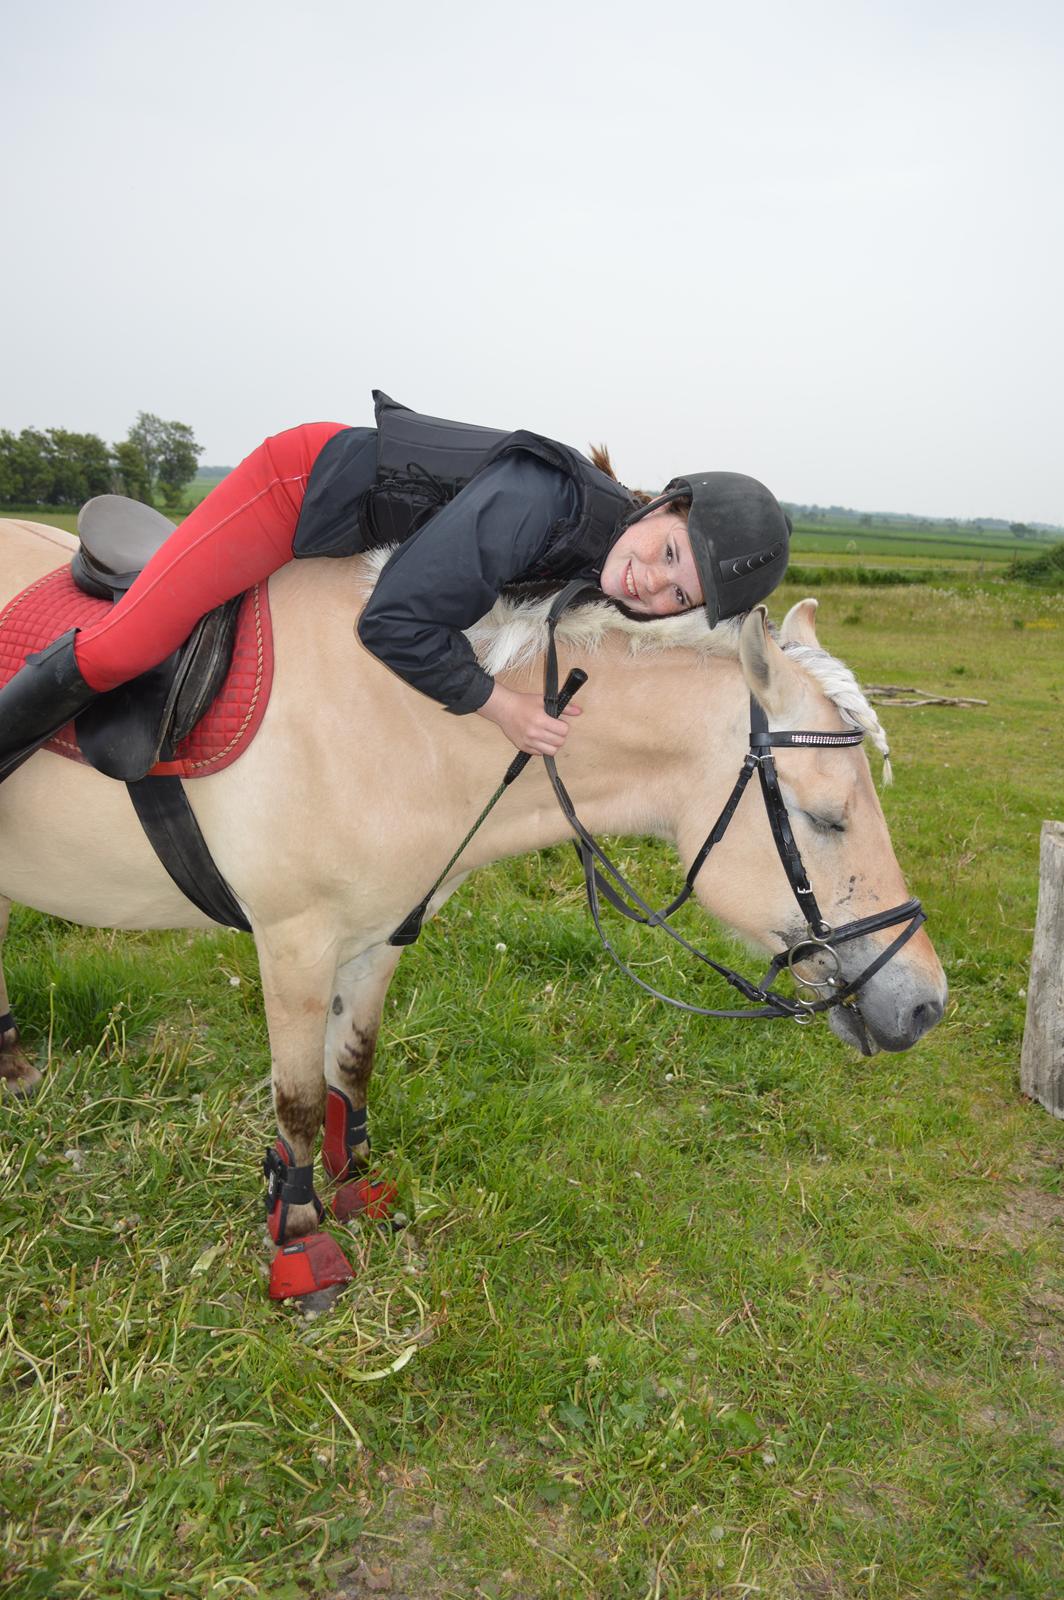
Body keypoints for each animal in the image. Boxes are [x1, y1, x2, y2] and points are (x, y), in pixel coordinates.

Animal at [0, 517, 946, 1281]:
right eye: (826, 817)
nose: (926, 1005)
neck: (399, 715)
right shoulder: (294, 941)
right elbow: (298, 1100)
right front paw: (300, 1236)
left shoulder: (381, 934)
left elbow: (352, 1066)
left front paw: (357, 1187)